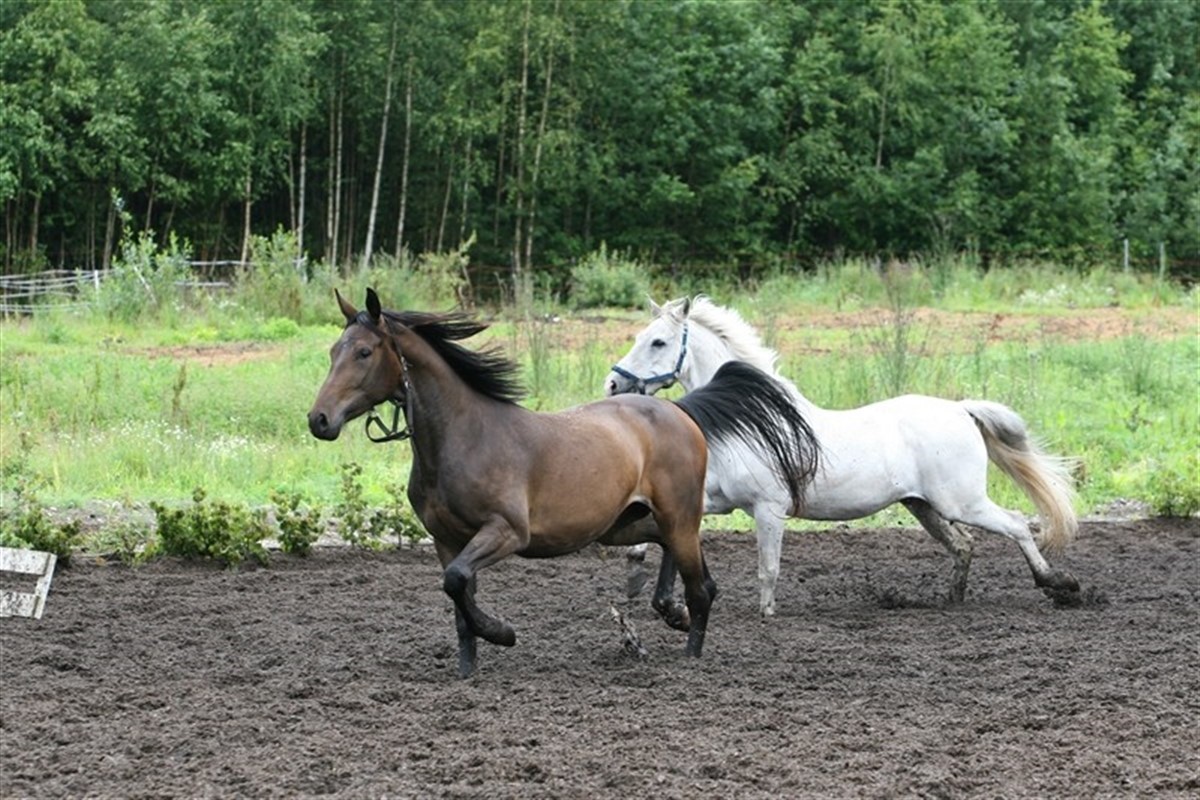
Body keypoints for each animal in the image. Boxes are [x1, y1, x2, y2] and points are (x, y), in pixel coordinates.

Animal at [308, 289, 821, 677]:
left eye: (364, 352)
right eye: (333, 351)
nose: (319, 420)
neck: (465, 438)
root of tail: (678, 410)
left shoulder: (508, 532)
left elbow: (457, 583)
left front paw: (503, 632)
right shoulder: (446, 540)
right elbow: (457, 594)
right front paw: (468, 668)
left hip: (677, 513)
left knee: (702, 586)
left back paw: (688, 648)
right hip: (625, 523)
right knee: (670, 552)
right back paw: (667, 608)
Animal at [606, 296, 1081, 615]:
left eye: (658, 342)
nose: (613, 384)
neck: (749, 417)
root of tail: (960, 409)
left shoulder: (768, 507)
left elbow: (768, 568)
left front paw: (766, 614)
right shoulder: (712, 499)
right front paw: (636, 577)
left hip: (962, 502)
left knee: (1017, 525)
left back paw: (1059, 583)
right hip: (923, 505)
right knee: (963, 544)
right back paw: (953, 599)